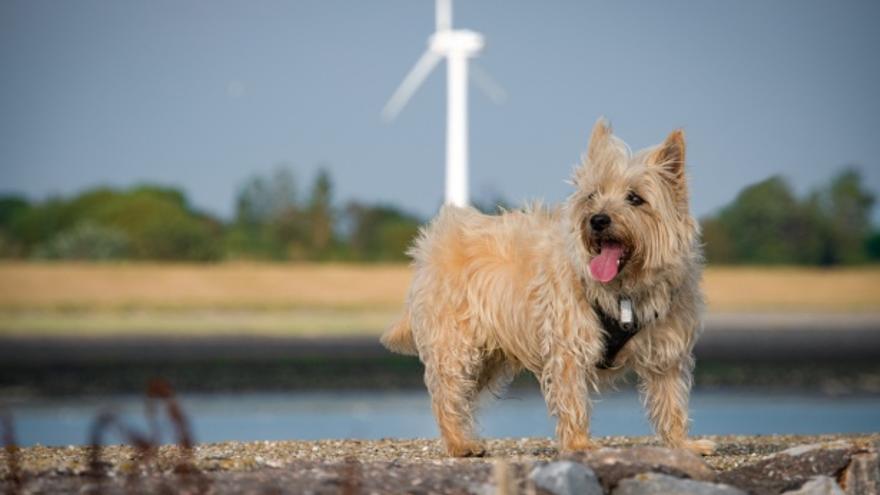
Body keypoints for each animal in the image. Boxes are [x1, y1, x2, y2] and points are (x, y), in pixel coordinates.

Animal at [382, 119, 712, 458]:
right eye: (592, 195)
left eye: (635, 198)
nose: (598, 220)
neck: (623, 293)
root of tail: (429, 245)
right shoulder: (569, 346)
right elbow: (573, 399)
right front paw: (579, 444)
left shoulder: (667, 351)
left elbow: (671, 400)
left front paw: (682, 444)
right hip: (456, 345)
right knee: (448, 394)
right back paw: (460, 444)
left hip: (488, 357)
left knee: (461, 397)